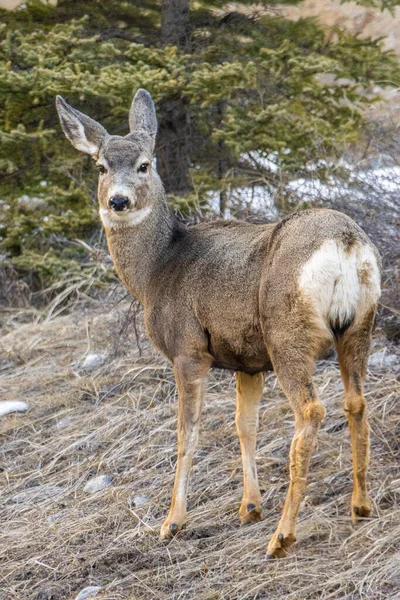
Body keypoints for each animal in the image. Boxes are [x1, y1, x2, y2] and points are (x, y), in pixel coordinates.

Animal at [55, 89, 382, 556]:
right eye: (101, 166)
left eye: (144, 164)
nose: (117, 201)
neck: (157, 270)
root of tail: (346, 243)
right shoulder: (248, 360)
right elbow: (244, 426)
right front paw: (249, 507)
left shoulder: (188, 349)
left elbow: (186, 433)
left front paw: (172, 521)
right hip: (359, 326)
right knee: (356, 402)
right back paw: (360, 506)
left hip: (287, 333)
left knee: (311, 410)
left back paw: (282, 536)